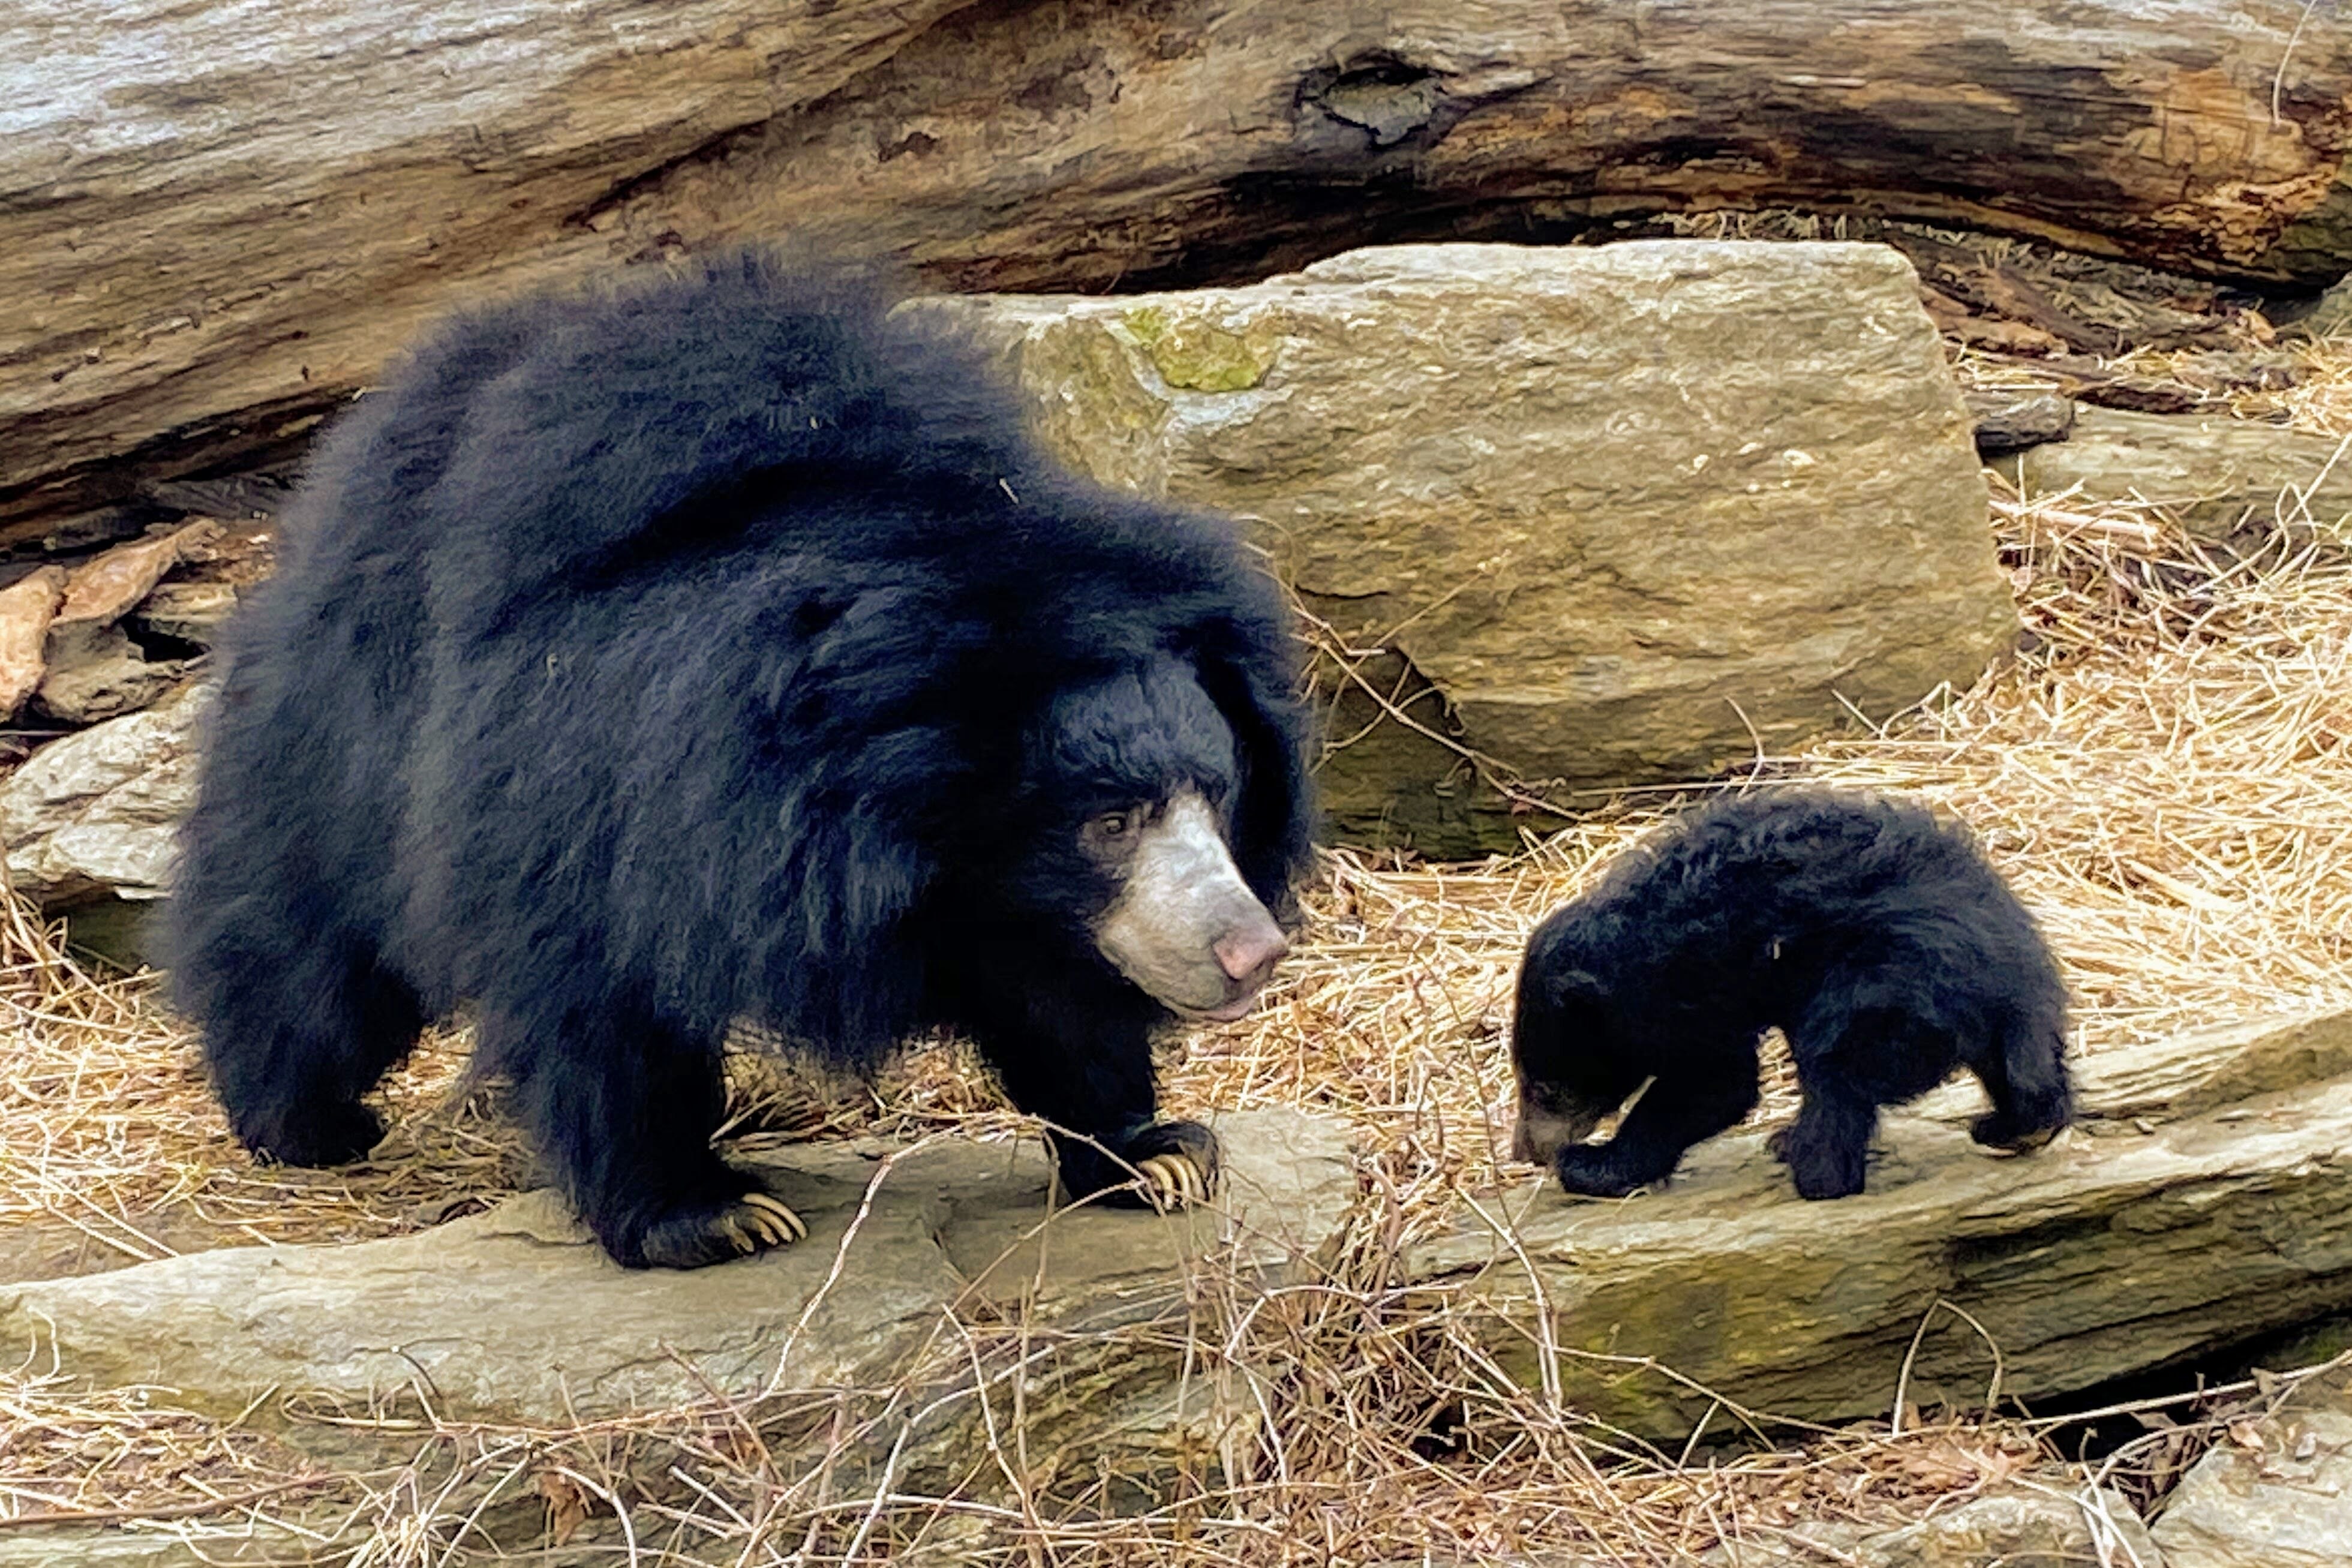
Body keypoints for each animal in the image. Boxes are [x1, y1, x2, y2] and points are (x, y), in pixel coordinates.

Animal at [174, 251, 1317, 1269]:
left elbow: (1064, 1003)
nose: (1250, 951)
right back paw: (305, 1124)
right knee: (306, 941)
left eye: (1218, 795)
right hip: (342, 728)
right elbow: (601, 991)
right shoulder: (594, 782)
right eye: (1109, 819)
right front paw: (708, 1215)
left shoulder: (1013, 902)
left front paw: (1154, 1154)